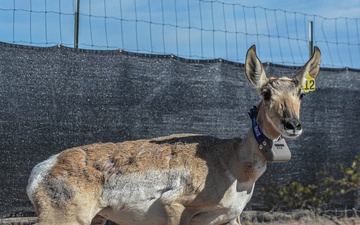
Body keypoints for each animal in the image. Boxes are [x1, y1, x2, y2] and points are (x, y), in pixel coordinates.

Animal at [28, 46, 320, 225]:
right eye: (266, 93)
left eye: (301, 94)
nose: (293, 124)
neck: (231, 161)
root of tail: (44, 167)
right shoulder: (176, 208)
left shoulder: (230, 218)